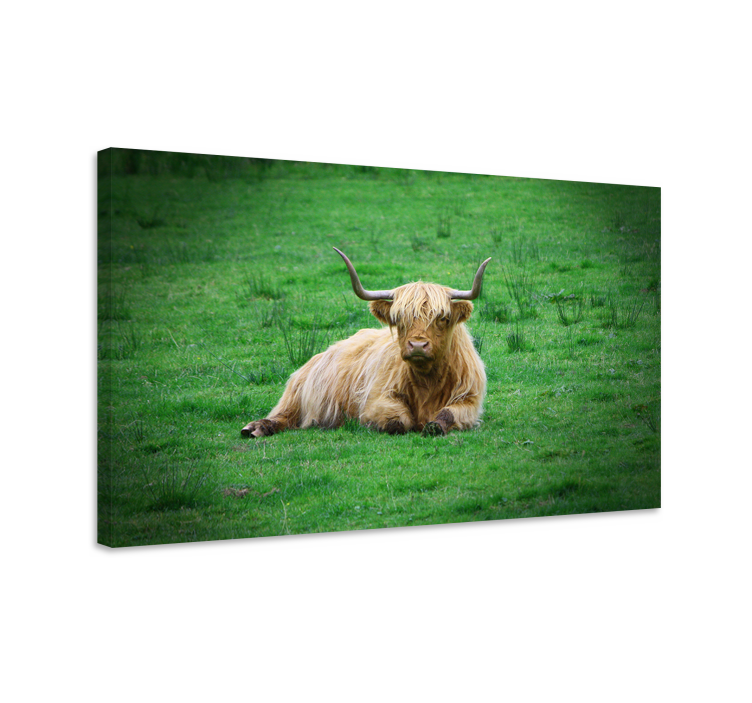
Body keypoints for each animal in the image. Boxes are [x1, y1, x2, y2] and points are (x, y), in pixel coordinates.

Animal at [241, 248, 491, 438]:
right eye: (399, 319)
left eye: (443, 318)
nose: (418, 346)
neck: (427, 380)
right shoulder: (376, 399)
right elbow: (399, 421)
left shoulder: (469, 400)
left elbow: (446, 416)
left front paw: (433, 426)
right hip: (296, 395)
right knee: (282, 415)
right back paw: (255, 428)